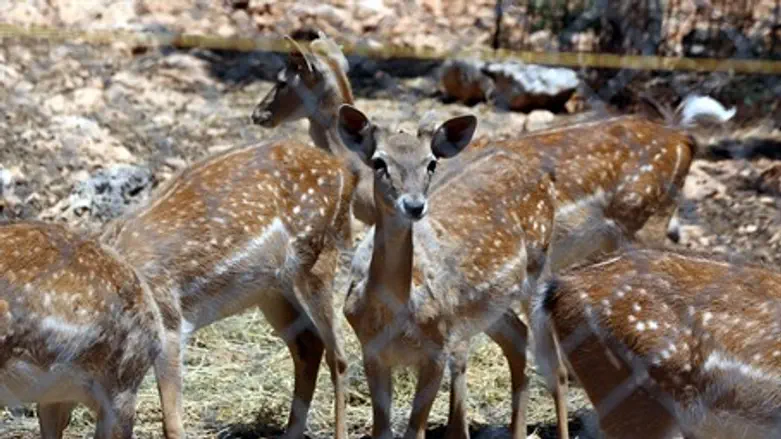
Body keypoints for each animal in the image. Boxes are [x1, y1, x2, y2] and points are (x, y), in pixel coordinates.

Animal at [100, 134, 358, 439]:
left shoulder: (170, 321)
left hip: (319, 256)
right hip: (271, 290)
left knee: (337, 354)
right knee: (309, 343)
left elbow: (171, 422)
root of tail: (344, 172)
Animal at [335, 103, 558, 439]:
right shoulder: (371, 349)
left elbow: (415, 430)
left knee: (553, 358)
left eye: (431, 163)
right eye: (379, 162)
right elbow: (382, 430)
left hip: (538, 267)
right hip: (485, 306)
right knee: (518, 336)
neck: (394, 313)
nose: (414, 205)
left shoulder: (437, 346)